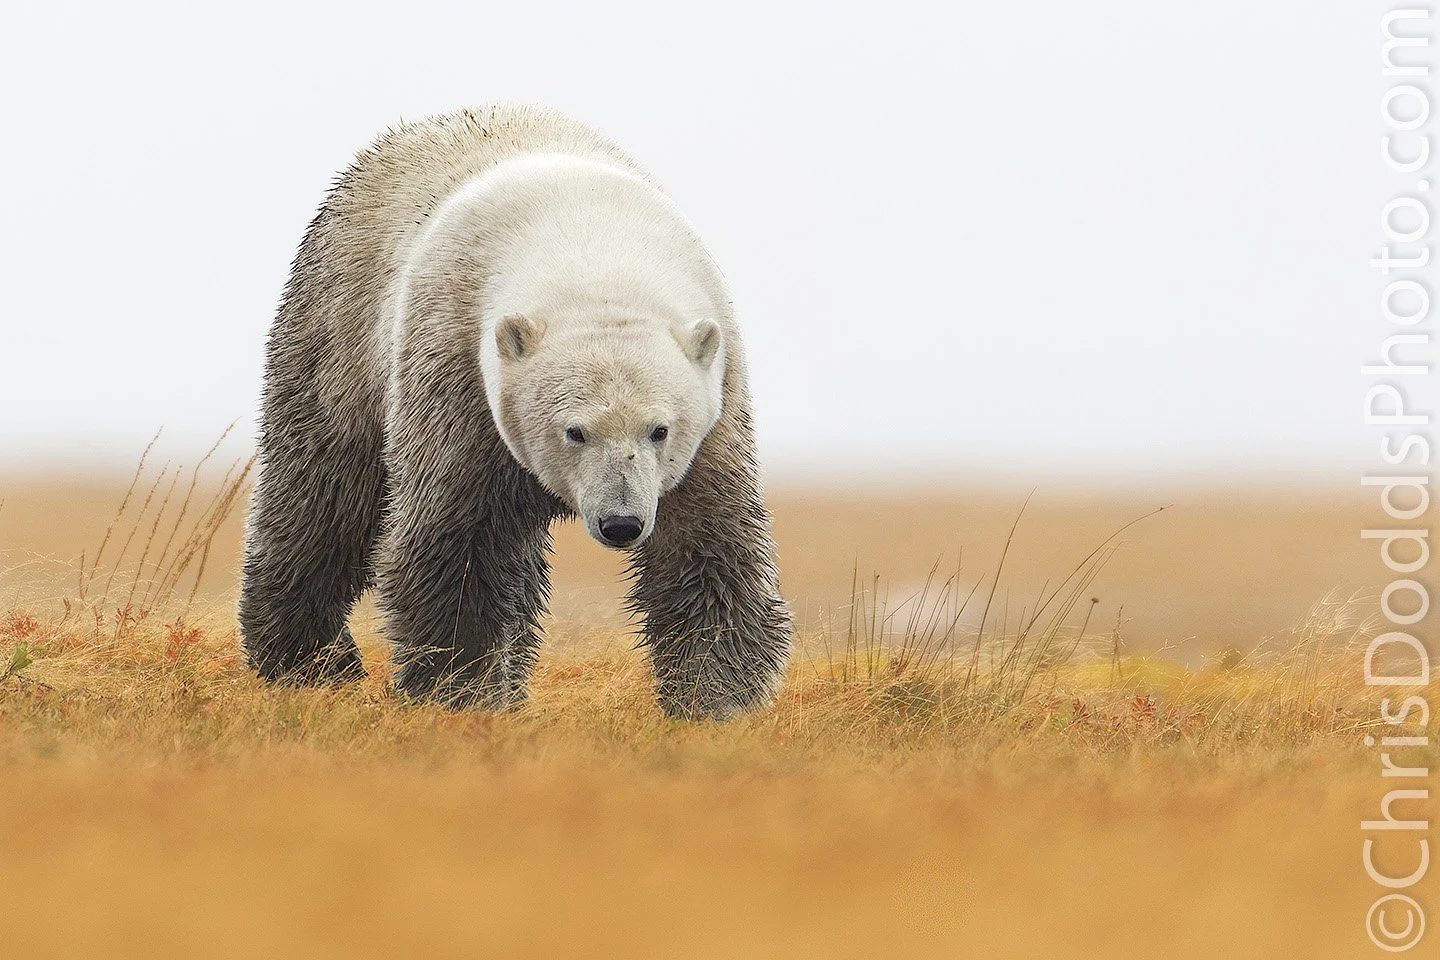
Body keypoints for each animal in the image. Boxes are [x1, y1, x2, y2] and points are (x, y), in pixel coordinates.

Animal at [237, 105, 792, 719]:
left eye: (659, 430)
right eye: (575, 431)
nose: (621, 523)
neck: (593, 248)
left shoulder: (716, 406)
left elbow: (706, 548)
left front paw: (715, 700)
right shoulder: (458, 369)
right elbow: (459, 544)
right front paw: (463, 693)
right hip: (337, 325)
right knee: (324, 492)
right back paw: (309, 662)